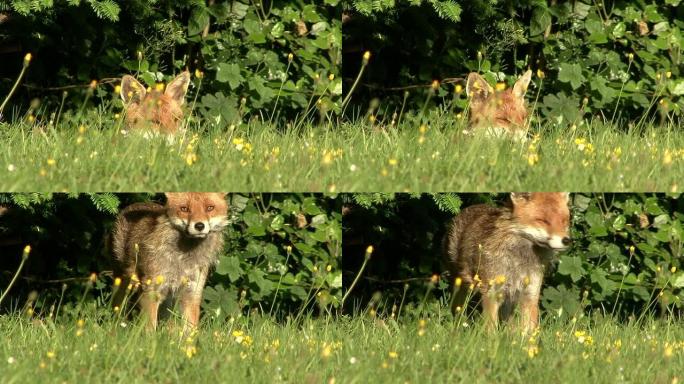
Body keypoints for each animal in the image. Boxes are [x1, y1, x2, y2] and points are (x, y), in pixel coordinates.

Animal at [111, 192, 228, 330]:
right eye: (184, 209)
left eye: (210, 208)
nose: (199, 226)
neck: (184, 259)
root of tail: (135, 204)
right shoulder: (151, 290)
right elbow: (149, 329)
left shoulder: (192, 293)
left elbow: (191, 330)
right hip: (126, 282)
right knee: (117, 307)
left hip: (169, 298)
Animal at [440, 194, 568, 332]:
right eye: (543, 221)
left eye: (564, 221)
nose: (567, 240)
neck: (518, 262)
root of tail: (472, 206)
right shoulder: (491, 294)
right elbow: (491, 330)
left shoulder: (530, 295)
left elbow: (529, 332)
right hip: (462, 286)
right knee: (457, 310)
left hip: (509, 299)